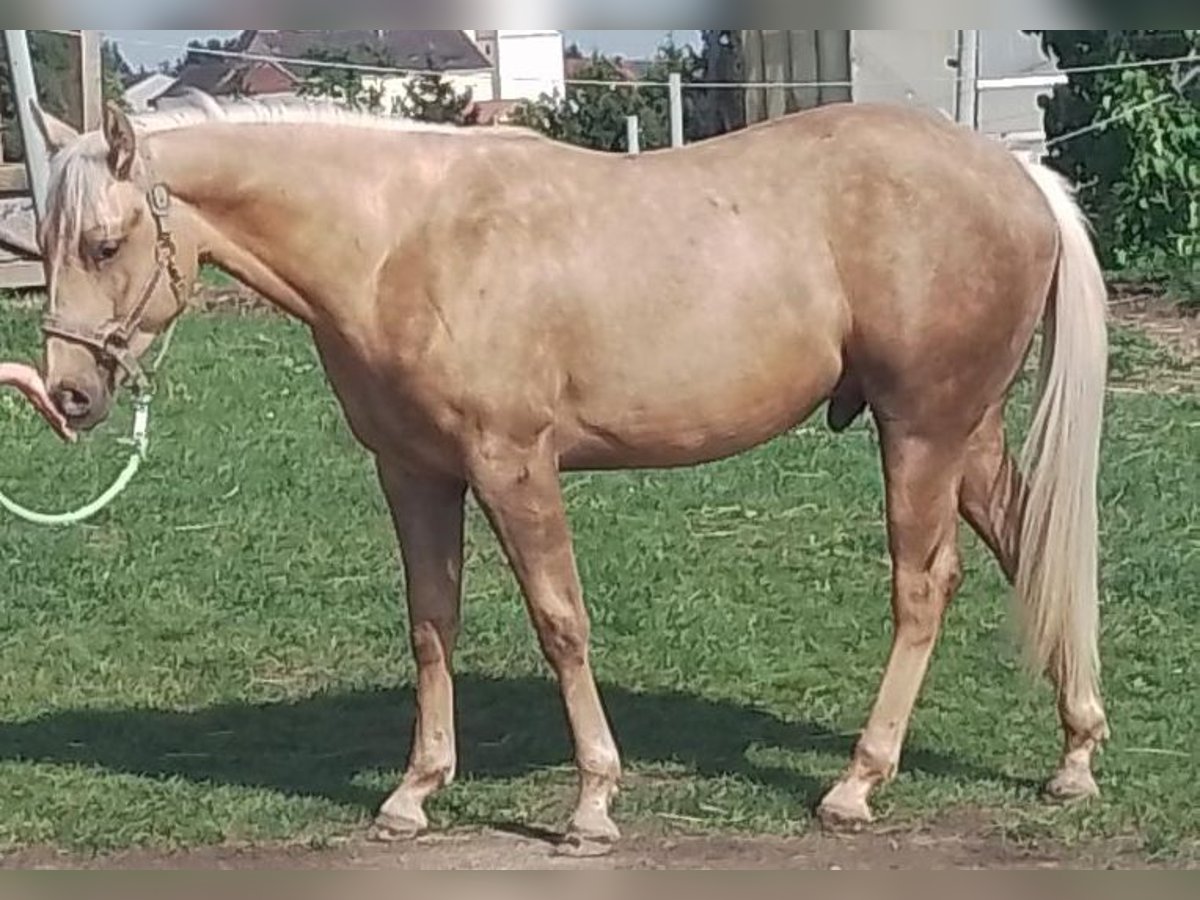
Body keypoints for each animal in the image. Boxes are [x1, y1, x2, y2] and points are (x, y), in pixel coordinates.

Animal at [32, 95, 1108, 854]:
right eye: (39, 243)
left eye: (105, 242)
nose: (68, 394)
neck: (401, 241)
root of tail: (1018, 174)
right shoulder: (414, 474)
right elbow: (431, 625)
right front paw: (414, 794)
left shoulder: (514, 465)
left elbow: (561, 622)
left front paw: (593, 799)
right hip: (966, 435)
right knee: (1030, 551)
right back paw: (1075, 755)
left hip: (921, 431)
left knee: (924, 588)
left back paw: (857, 782)